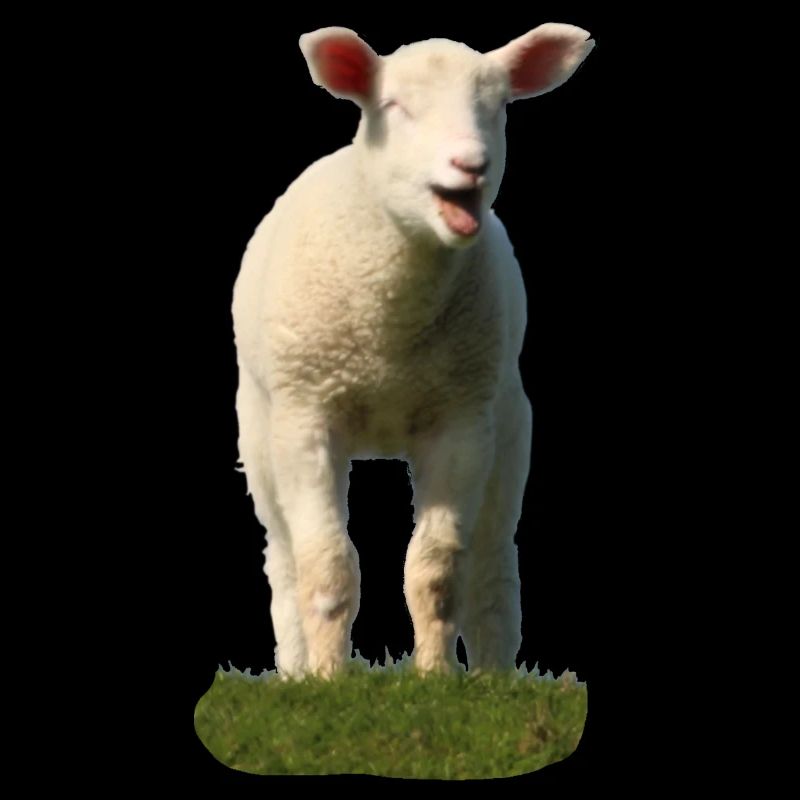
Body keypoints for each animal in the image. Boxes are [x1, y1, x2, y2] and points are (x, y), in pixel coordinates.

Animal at [232, 24, 594, 678]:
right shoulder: (307, 415)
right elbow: (327, 564)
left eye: (497, 107)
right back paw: (294, 670)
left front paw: (436, 679)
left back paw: (496, 677)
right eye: (395, 107)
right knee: (285, 559)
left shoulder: (460, 421)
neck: (389, 342)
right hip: (261, 431)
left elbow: (437, 571)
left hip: (508, 426)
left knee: (493, 562)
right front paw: (328, 680)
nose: (470, 165)